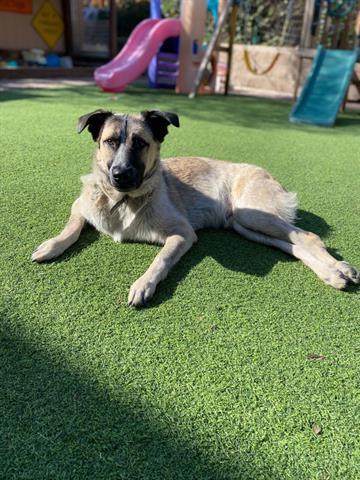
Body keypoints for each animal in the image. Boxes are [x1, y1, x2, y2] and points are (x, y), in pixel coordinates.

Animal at [31, 109, 360, 306]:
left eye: (140, 143)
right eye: (110, 141)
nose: (120, 175)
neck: (121, 201)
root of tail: (267, 173)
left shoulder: (183, 234)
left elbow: (160, 260)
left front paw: (143, 284)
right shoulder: (81, 205)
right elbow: (72, 227)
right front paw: (51, 245)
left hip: (250, 215)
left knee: (307, 237)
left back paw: (339, 270)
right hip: (244, 225)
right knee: (291, 244)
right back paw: (335, 274)